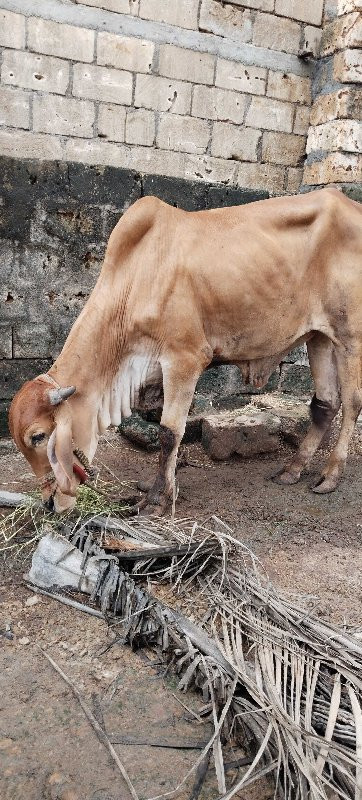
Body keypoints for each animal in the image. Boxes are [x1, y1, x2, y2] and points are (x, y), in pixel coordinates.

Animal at [7, 188, 362, 512]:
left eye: (38, 436)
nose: (49, 503)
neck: (136, 280)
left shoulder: (184, 360)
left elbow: (169, 432)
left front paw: (156, 500)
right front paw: (162, 485)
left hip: (349, 338)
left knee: (351, 404)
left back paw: (330, 475)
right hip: (319, 336)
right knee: (325, 404)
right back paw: (293, 469)